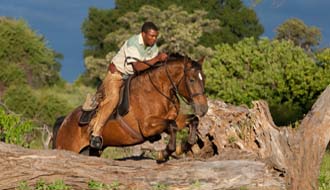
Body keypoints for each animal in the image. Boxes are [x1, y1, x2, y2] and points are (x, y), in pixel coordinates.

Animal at [52, 54, 208, 160]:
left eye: (204, 78)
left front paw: (186, 146)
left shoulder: (172, 119)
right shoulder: (147, 126)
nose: (203, 108)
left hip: (92, 151)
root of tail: (64, 120)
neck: (158, 91)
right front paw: (164, 153)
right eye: (191, 80)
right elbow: (172, 126)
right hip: (67, 147)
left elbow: (192, 120)